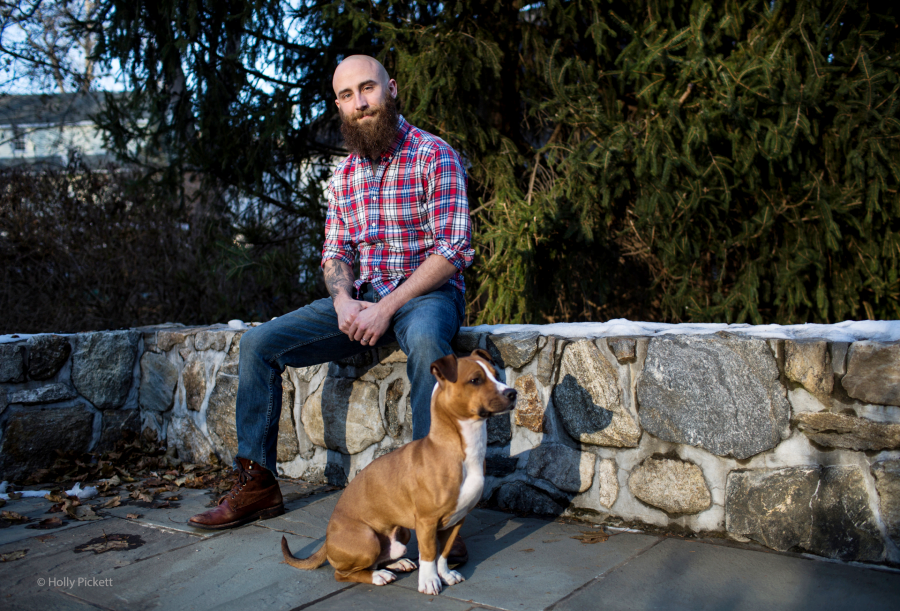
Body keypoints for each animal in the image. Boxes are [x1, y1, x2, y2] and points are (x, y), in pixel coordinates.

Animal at [282, 352, 520, 596]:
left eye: (496, 375)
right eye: (475, 380)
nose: (513, 393)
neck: (460, 448)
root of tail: (328, 538)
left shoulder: (456, 520)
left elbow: (443, 553)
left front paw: (444, 574)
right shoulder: (426, 522)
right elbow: (429, 554)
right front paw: (429, 581)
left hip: (402, 533)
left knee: (380, 558)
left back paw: (397, 563)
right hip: (367, 540)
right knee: (344, 573)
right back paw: (378, 576)